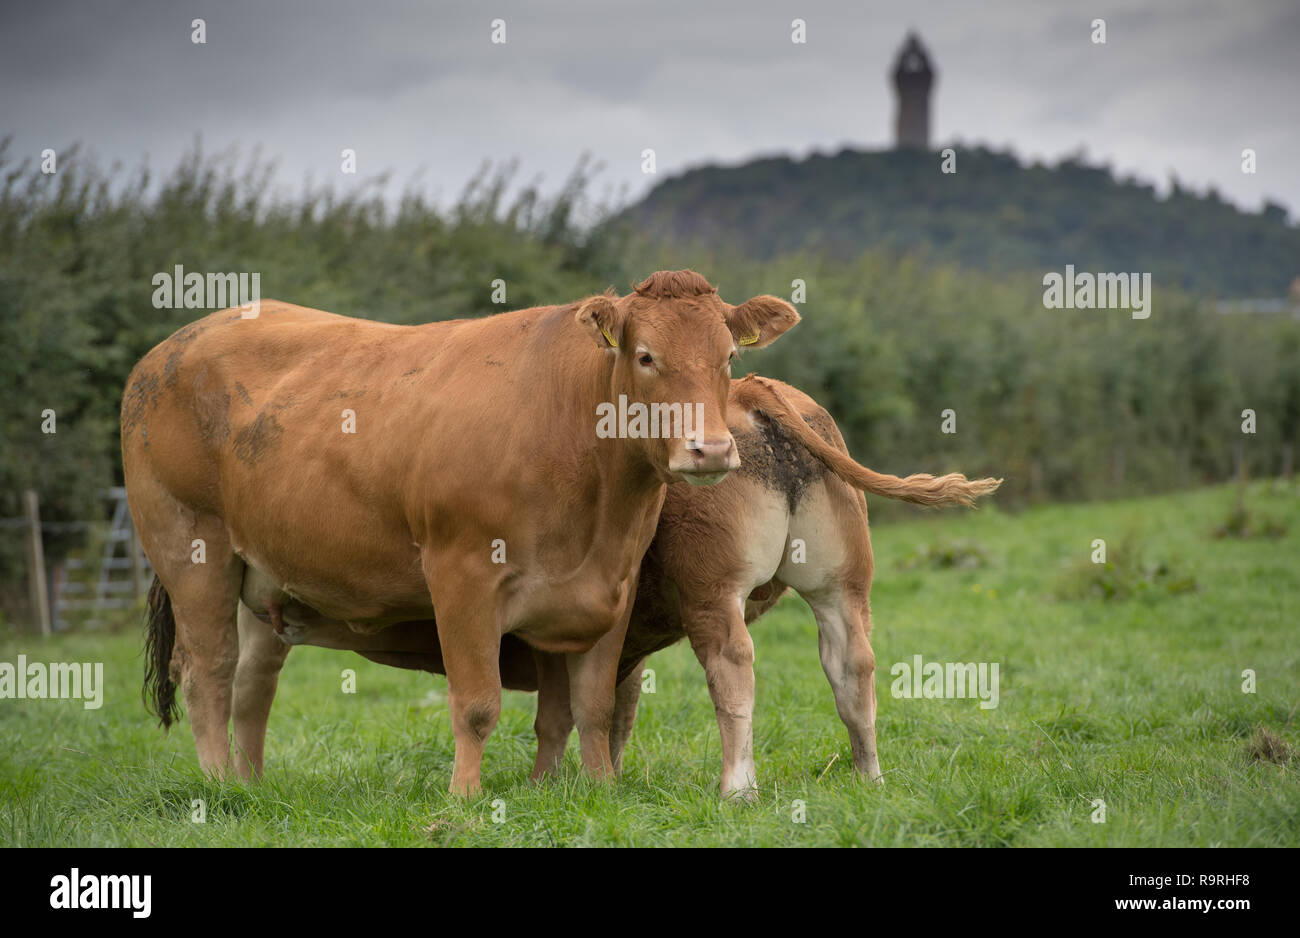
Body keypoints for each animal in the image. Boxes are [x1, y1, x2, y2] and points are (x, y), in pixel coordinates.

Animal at [123, 270, 799, 795]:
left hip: (263, 575)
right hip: (190, 547)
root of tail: (172, 346)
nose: (711, 450)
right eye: (646, 356)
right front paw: (464, 797)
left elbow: (596, 703)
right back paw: (218, 788)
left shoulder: (615, 585)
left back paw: (253, 786)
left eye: (729, 359)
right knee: (209, 672)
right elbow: (476, 705)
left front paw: (603, 787)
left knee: (251, 685)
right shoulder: (461, 574)